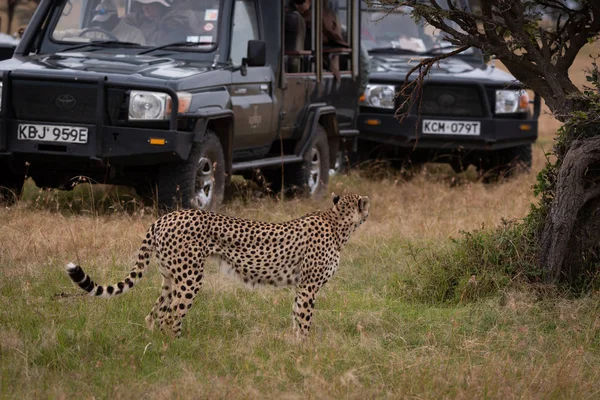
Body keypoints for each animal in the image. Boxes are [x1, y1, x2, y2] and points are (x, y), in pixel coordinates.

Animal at [68, 192, 372, 340]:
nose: (369, 211)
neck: (338, 222)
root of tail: (165, 217)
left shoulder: (301, 287)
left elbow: (296, 316)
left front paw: (295, 346)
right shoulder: (309, 287)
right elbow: (305, 319)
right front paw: (306, 349)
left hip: (170, 278)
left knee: (154, 315)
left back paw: (157, 347)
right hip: (190, 278)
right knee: (171, 316)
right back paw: (178, 349)